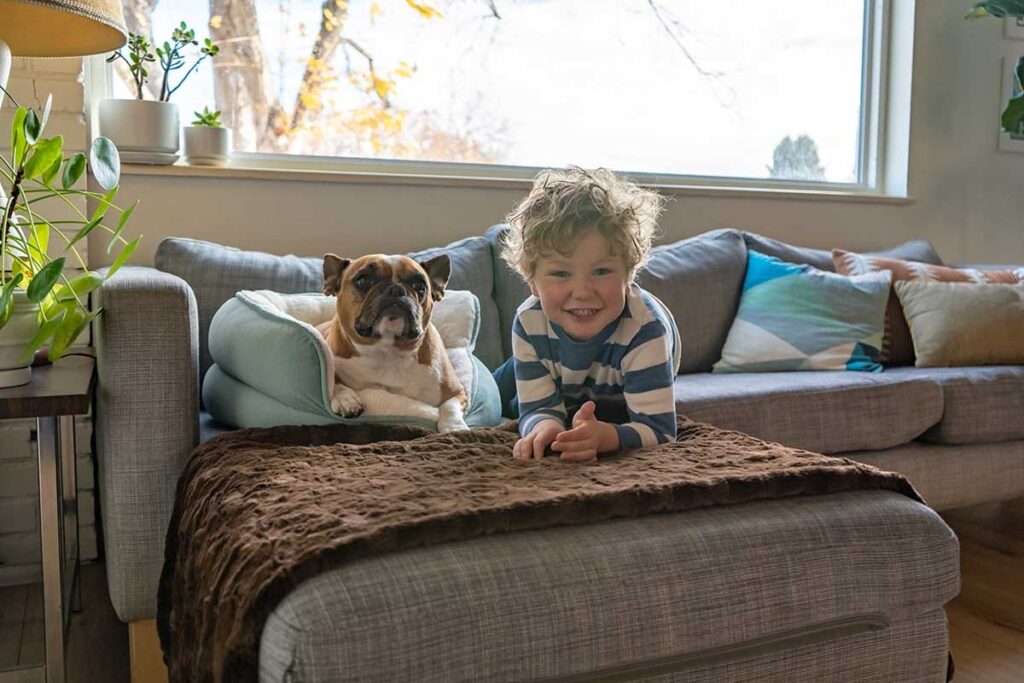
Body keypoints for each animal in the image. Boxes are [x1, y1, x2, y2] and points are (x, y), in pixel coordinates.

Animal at [313, 250, 468, 432]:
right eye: (362, 281)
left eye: (420, 285)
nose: (396, 289)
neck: (387, 352)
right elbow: (333, 381)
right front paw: (346, 399)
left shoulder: (457, 392)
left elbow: (449, 406)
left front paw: (455, 427)